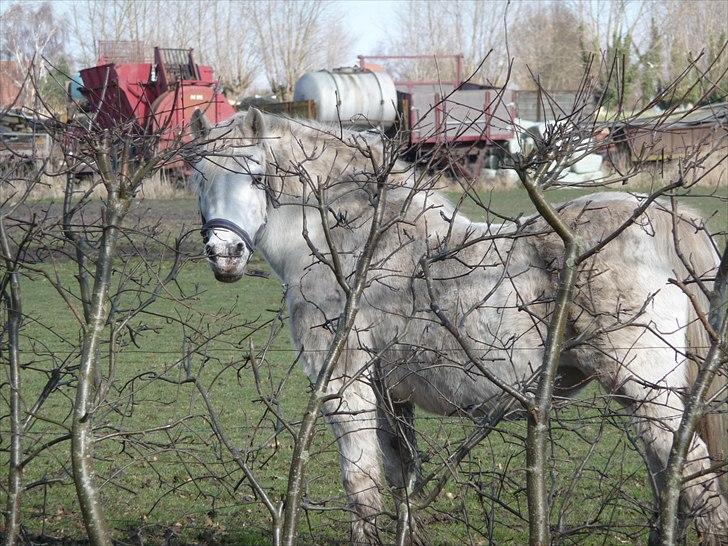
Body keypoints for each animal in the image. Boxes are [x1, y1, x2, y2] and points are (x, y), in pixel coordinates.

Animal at [192, 108, 728, 540]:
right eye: (199, 175)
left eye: (256, 177)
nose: (224, 253)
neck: (356, 247)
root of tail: (663, 222)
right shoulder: (391, 395)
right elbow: (400, 479)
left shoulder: (345, 389)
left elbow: (362, 486)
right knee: (669, 479)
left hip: (648, 393)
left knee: (697, 481)